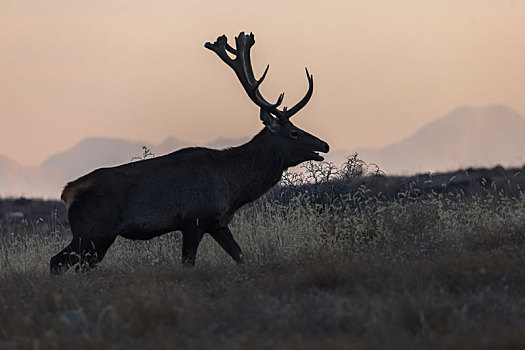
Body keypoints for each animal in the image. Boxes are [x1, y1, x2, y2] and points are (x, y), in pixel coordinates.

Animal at [49, 32, 328, 274]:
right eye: (294, 132)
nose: (324, 145)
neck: (235, 186)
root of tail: (67, 192)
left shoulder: (217, 223)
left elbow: (240, 255)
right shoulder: (193, 220)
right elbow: (188, 263)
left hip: (95, 238)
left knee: (74, 264)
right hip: (94, 231)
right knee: (57, 261)